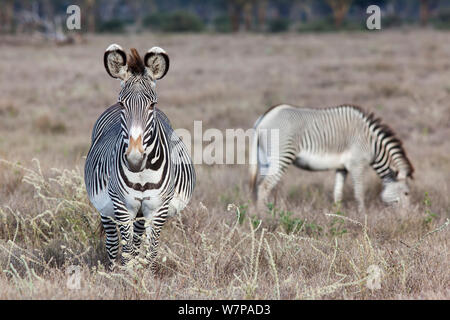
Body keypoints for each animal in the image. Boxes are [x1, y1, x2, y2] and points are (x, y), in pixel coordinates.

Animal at [84, 44, 195, 270]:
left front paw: (145, 276)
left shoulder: (158, 208)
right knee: (113, 243)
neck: (142, 173)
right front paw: (128, 276)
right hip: (106, 208)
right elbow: (126, 251)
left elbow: (150, 251)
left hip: (141, 213)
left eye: (153, 104)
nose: (135, 159)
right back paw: (113, 270)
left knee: (136, 240)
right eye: (122, 104)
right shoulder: (122, 205)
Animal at [250, 104, 414, 211]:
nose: (406, 218)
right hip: (282, 156)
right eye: (406, 193)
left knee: (259, 185)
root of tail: (264, 118)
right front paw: (363, 216)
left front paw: (337, 215)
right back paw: (264, 216)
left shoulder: (342, 168)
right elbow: (359, 193)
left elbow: (338, 194)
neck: (372, 143)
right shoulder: (357, 164)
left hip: (264, 160)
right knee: (264, 186)